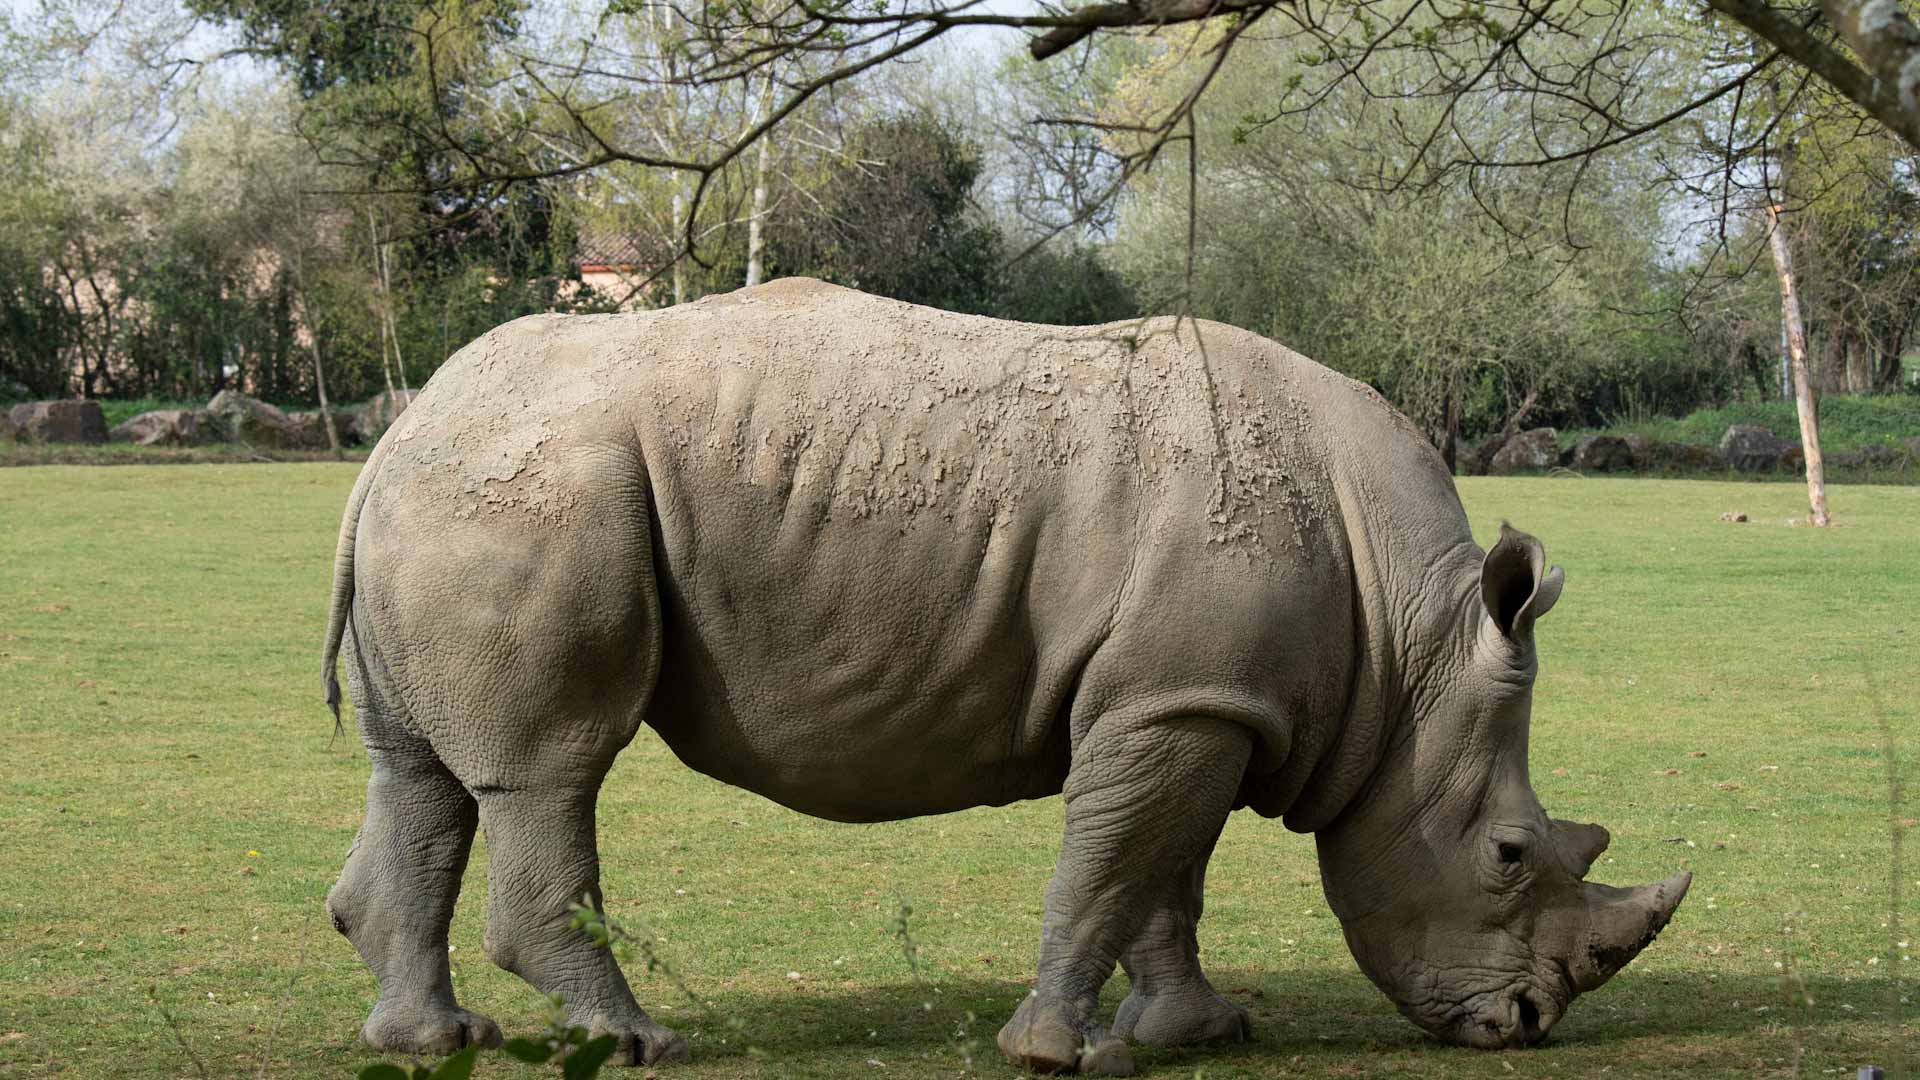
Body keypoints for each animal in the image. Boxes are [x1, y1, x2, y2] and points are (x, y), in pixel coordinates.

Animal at [322, 276, 1689, 1068]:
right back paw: (635, 1042)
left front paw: (1195, 1033)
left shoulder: (1195, 700)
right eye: (1508, 856)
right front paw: (1051, 1053)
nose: (1528, 1026)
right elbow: (1113, 868)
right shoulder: (1179, 704)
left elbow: (1165, 878)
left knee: (421, 774)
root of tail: (398, 426)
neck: (1412, 645)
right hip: (536, 497)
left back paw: (431, 1041)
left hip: (464, 492)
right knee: (552, 770)